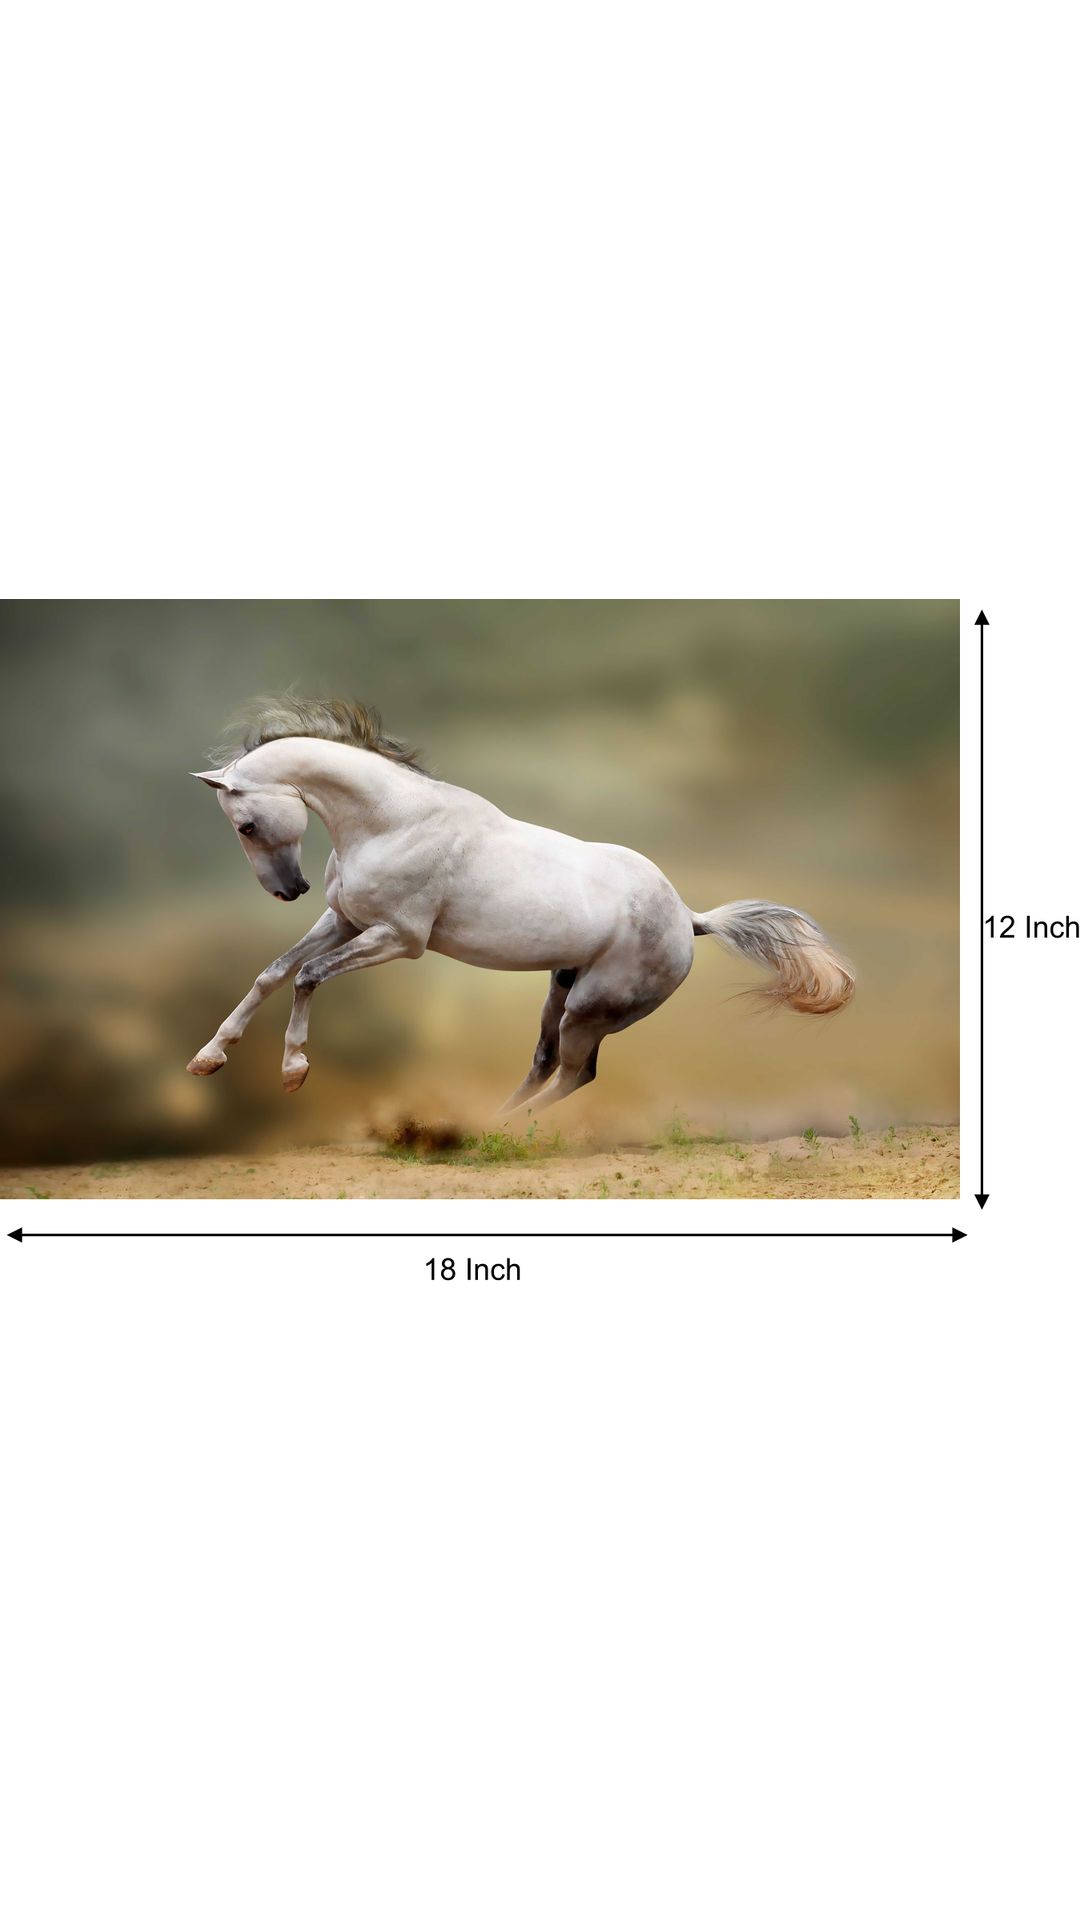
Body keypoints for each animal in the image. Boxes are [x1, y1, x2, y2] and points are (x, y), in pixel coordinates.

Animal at [187, 698, 854, 1110]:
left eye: (246, 825)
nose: (288, 890)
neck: (393, 822)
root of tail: (689, 920)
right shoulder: (346, 920)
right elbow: (274, 971)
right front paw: (208, 1058)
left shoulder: (400, 939)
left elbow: (308, 975)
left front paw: (293, 1071)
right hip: (561, 991)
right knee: (544, 1063)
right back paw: (489, 1127)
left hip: (591, 1008)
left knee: (575, 1074)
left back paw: (513, 1132)